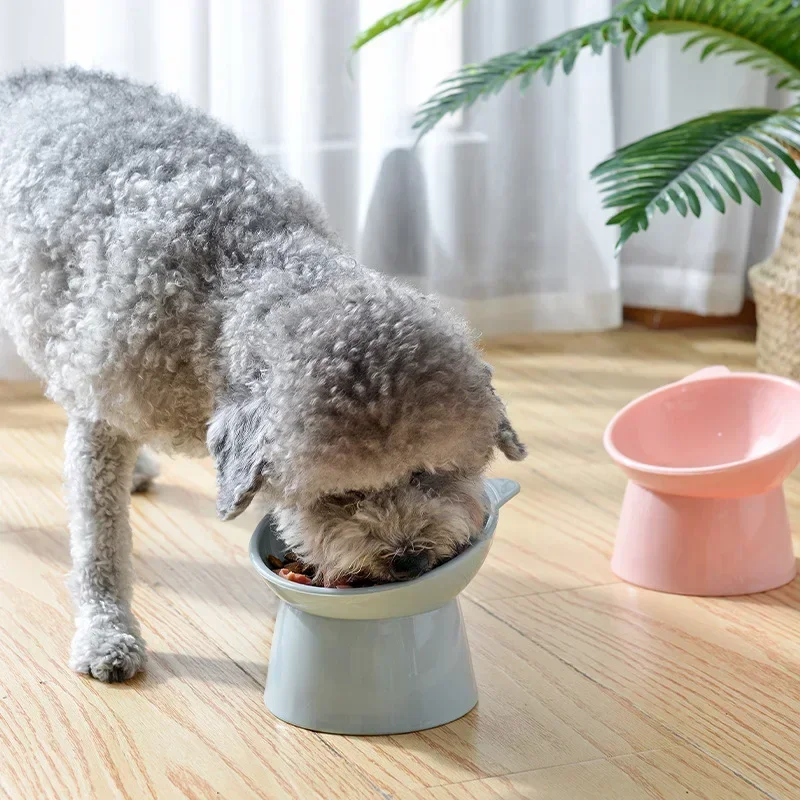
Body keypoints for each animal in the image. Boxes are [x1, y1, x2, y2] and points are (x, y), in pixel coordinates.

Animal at [0, 67, 524, 680]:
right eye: (340, 495)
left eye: (428, 473)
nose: (408, 560)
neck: (233, 280)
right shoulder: (98, 419)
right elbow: (98, 545)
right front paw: (107, 634)